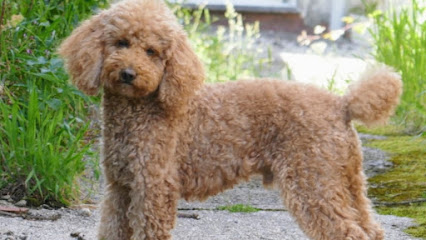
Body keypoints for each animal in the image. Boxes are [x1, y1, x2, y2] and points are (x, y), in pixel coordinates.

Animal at [59, 0, 402, 240]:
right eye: (121, 43)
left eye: (152, 51)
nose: (129, 74)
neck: (140, 111)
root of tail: (342, 104)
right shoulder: (120, 188)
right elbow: (111, 230)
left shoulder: (153, 188)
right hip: (347, 182)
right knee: (370, 228)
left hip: (314, 181)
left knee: (348, 232)